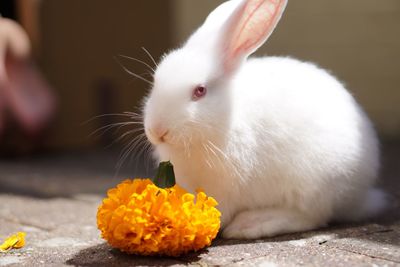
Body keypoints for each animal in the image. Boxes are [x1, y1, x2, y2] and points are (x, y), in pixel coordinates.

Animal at [142, 0, 386, 240]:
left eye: (200, 91)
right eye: (156, 81)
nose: (157, 130)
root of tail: (361, 197)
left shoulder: (224, 187)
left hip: (314, 184)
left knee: (313, 216)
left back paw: (252, 224)